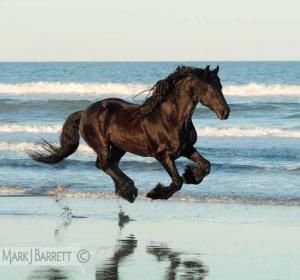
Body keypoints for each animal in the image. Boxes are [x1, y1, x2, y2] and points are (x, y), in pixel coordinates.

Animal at [29, 66, 230, 203]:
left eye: (220, 86)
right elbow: (177, 181)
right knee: (104, 164)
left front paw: (191, 175)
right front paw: (156, 193)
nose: (225, 112)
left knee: (110, 164)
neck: (170, 118)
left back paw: (125, 190)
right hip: (102, 145)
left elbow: (206, 165)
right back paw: (130, 191)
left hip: (120, 147)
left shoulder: (186, 148)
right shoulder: (162, 155)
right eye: (208, 88)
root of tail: (85, 111)